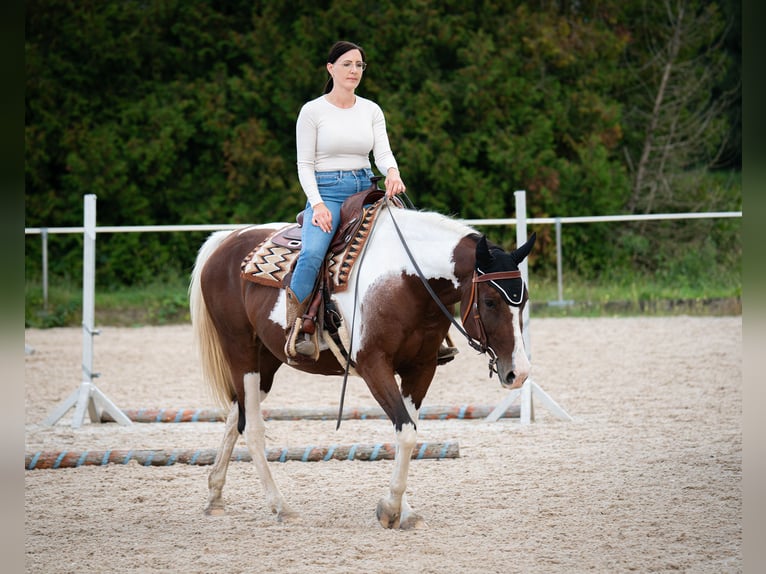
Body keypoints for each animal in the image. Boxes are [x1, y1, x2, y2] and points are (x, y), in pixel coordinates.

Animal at [189, 200, 536, 529]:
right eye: (490, 301)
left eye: (524, 301)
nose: (518, 373)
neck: (406, 279)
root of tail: (225, 240)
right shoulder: (374, 367)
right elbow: (406, 432)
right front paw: (390, 509)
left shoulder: (421, 368)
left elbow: (407, 431)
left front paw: (405, 511)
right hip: (241, 352)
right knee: (252, 428)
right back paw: (281, 507)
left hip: (267, 362)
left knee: (236, 416)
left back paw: (215, 496)